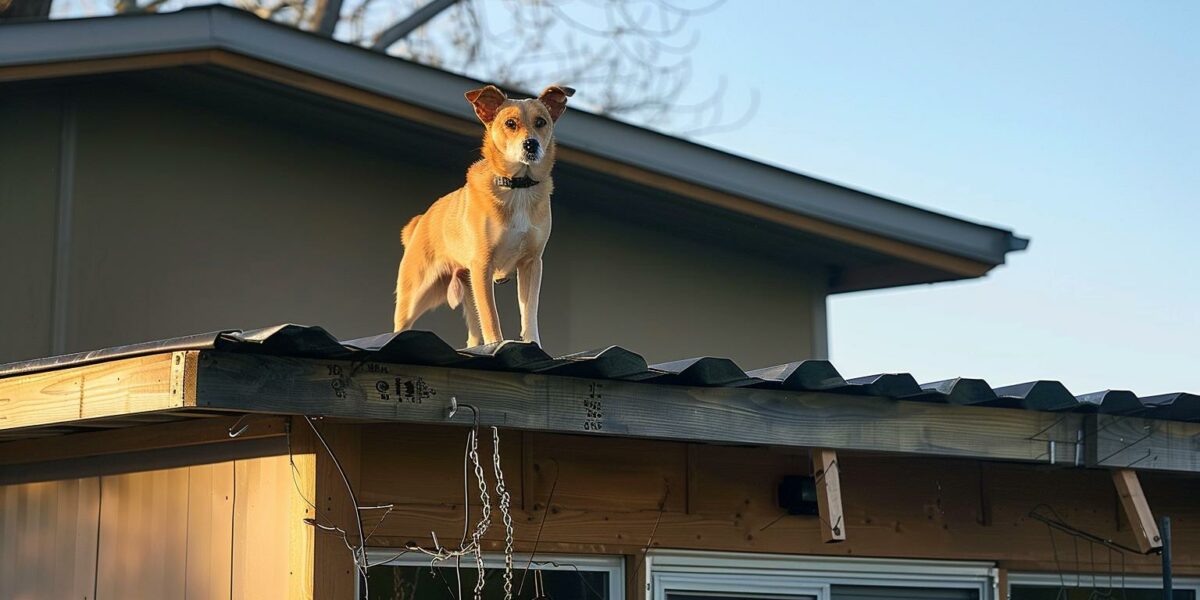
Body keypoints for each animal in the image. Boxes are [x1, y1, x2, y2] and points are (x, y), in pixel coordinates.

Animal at [391, 82, 573, 350]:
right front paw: (497, 343)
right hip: (417, 291)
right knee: (400, 325)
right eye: (510, 123)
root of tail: (420, 221)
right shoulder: (482, 265)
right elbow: (491, 316)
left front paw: (533, 344)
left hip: (467, 287)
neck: (517, 186)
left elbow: (529, 312)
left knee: (473, 335)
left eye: (541, 122)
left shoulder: (531, 263)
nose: (531, 144)